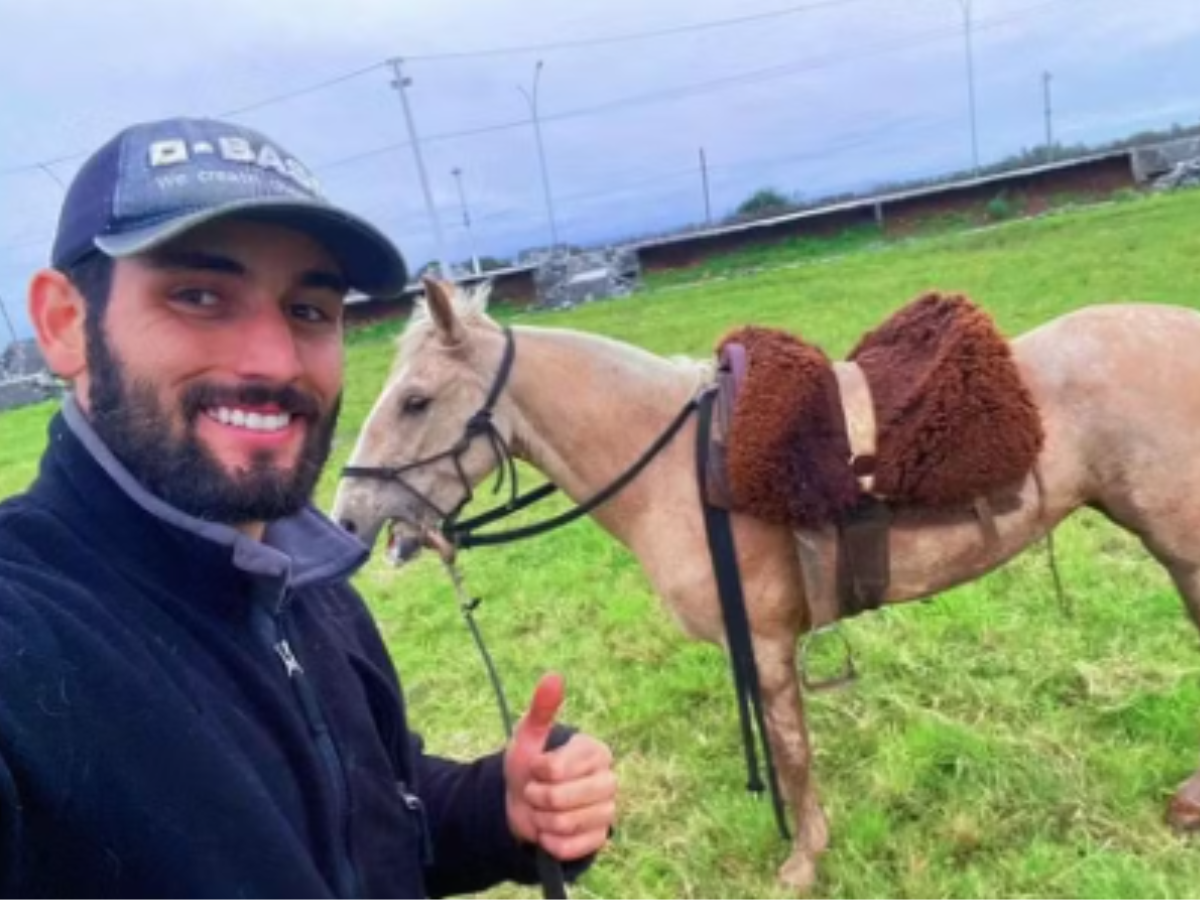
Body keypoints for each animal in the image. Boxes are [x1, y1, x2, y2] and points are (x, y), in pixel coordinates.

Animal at [333, 278, 1200, 892]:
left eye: (415, 401)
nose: (349, 517)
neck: (677, 469)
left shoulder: (769, 645)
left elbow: (789, 752)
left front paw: (803, 862)